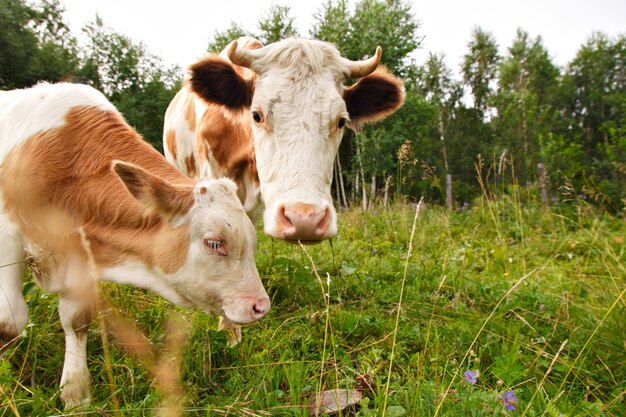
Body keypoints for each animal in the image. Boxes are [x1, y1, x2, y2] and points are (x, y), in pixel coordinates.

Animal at [0, 82, 268, 406]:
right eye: (214, 243)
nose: (260, 306)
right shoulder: (7, 235)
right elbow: (9, 321)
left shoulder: (79, 252)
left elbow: (76, 319)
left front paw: (76, 393)